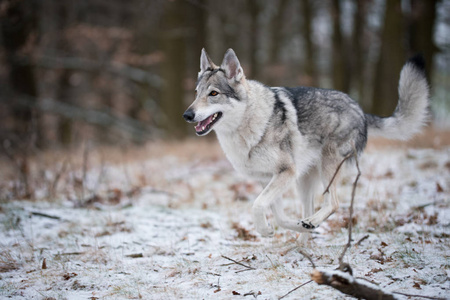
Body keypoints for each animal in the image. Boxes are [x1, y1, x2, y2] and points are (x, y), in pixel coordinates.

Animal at [183, 47, 428, 239]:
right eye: (196, 93)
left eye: (213, 93)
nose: (187, 115)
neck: (248, 126)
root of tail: (360, 109)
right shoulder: (267, 178)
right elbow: (278, 216)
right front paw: (272, 230)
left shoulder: (285, 172)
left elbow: (257, 205)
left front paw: (266, 228)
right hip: (303, 181)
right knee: (309, 209)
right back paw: (304, 242)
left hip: (326, 168)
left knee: (333, 203)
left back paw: (311, 225)